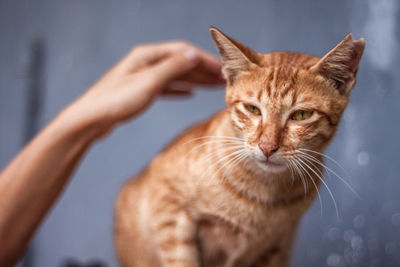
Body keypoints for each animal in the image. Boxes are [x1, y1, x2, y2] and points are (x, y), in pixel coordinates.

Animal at [113, 25, 366, 267]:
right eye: (252, 109)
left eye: (301, 115)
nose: (267, 147)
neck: (262, 193)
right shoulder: (168, 208)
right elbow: (181, 260)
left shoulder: (274, 247)